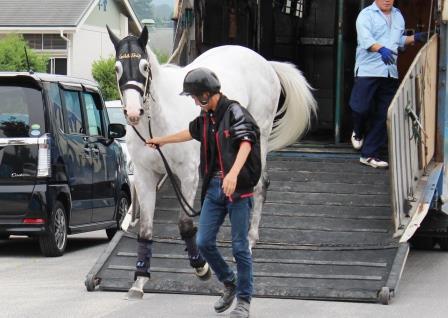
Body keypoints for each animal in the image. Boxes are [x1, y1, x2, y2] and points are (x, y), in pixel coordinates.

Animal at [107, 26, 316, 298]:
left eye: (144, 66)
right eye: (117, 68)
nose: (133, 113)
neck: (159, 121)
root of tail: (265, 63)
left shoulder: (188, 175)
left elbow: (185, 224)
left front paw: (202, 268)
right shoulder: (144, 177)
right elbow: (145, 229)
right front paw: (139, 281)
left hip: (259, 136)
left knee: (260, 185)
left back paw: (250, 240)